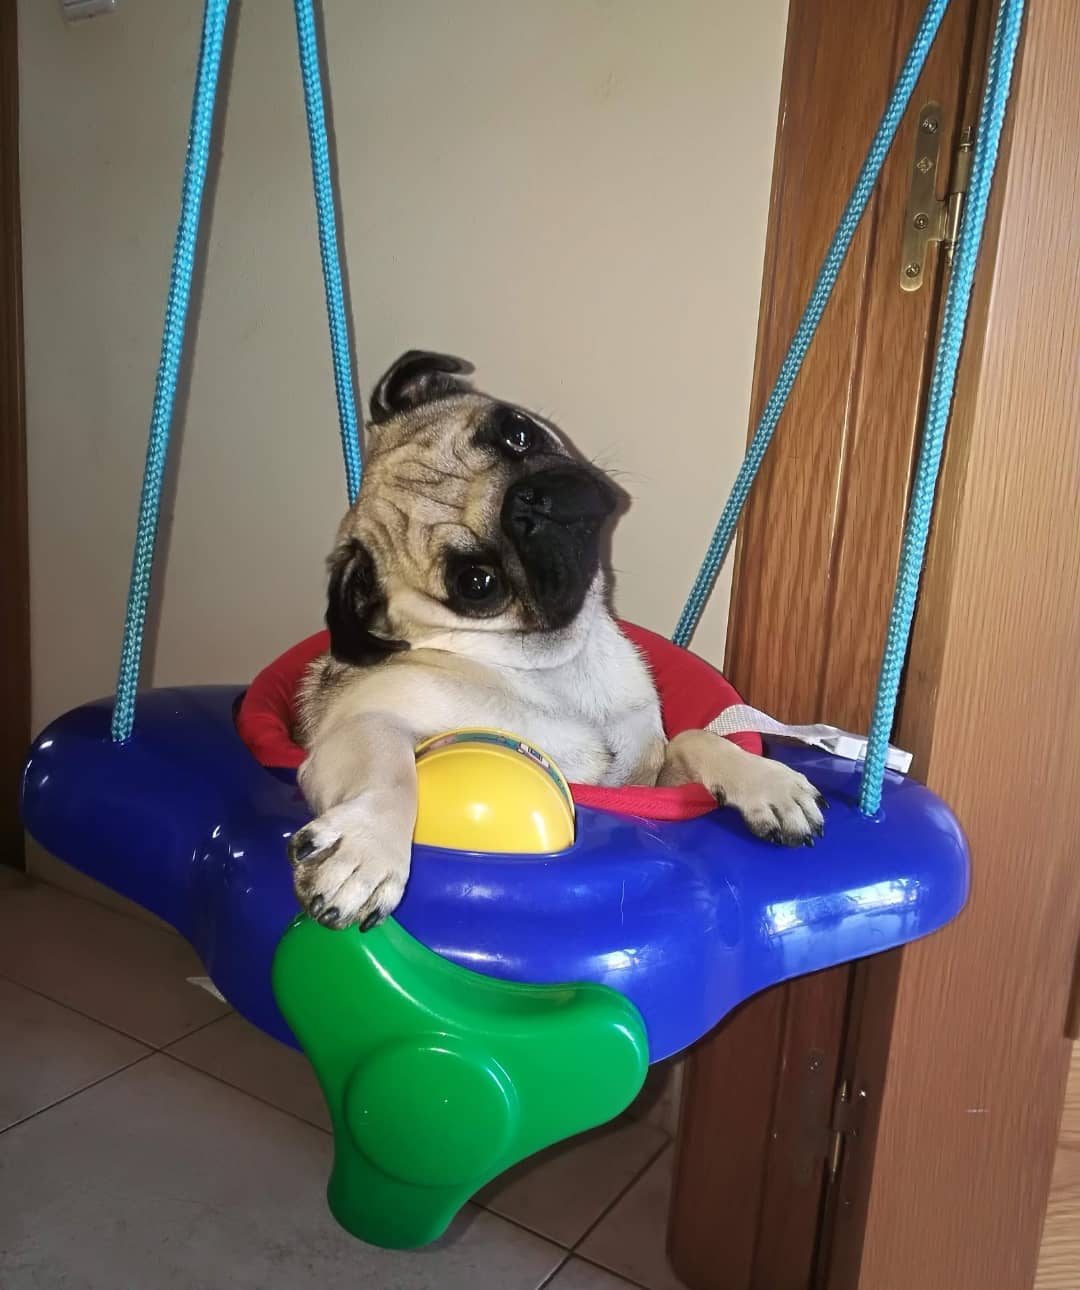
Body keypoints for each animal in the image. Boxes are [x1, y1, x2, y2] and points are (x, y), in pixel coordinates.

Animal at [290, 353, 820, 928]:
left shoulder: (650, 779)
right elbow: (389, 770)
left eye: (516, 432)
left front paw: (766, 781)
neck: (559, 663)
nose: (527, 503)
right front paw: (366, 847)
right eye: (476, 583)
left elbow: (697, 738)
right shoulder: (360, 724)